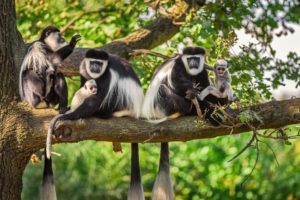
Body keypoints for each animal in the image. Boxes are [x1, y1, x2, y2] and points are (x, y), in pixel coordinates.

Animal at [143, 46, 227, 198]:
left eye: (196, 58)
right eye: (189, 59)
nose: (193, 63)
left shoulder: (201, 71)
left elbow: (205, 88)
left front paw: (220, 100)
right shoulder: (177, 66)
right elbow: (178, 84)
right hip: (161, 106)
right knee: (163, 90)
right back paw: (195, 108)